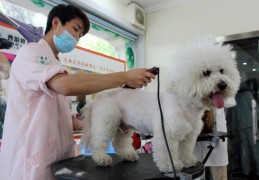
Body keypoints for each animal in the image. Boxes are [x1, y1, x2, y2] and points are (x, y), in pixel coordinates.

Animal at [82, 37, 242, 172]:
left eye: (222, 70)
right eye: (206, 72)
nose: (223, 84)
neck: (185, 106)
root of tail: (99, 96)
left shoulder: (189, 135)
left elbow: (185, 149)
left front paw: (188, 161)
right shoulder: (166, 133)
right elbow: (167, 151)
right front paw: (171, 166)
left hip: (124, 126)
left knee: (119, 142)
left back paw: (128, 155)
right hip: (106, 121)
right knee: (98, 140)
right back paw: (101, 158)